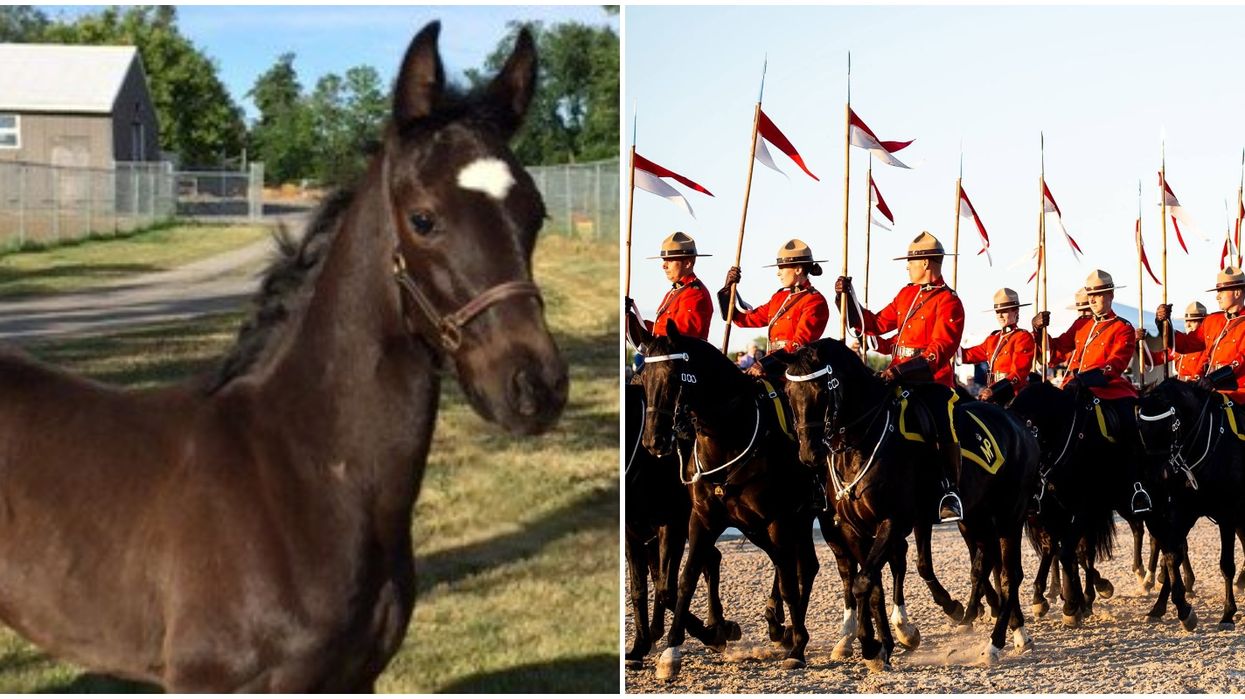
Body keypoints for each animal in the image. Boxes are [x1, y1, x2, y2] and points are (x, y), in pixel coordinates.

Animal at [623, 383, 740, 668]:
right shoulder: (633, 533)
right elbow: (639, 589)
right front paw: (639, 645)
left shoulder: (671, 526)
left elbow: (667, 588)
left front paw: (713, 635)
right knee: (710, 560)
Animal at [636, 325, 820, 680]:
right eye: (644, 376)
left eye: (674, 375)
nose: (653, 440)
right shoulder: (702, 519)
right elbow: (686, 578)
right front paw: (671, 651)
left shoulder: (777, 518)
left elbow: (789, 581)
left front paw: (798, 648)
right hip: (764, 525)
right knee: (796, 563)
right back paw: (782, 627)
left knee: (802, 566)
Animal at [780, 338, 1038, 667]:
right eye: (789, 393)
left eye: (821, 391)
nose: (808, 454)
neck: (862, 443)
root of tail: (1019, 424)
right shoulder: (854, 529)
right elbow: (871, 584)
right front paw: (880, 646)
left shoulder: (894, 521)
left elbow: (865, 581)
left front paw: (873, 645)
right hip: (977, 518)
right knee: (990, 566)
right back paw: (1015, 631)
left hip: (1009, 516)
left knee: (1009, 575)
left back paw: (995, 642)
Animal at [1009, 380, 1195, 630]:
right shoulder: (1057, 512)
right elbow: (1064, 551)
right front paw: (1066, 598)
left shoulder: (1083, 509)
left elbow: (1068, 552)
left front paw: (1072, 604)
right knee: (1166, 543)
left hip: (1152, 505)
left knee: (1170, 546)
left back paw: (1171, 597)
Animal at [1136, 378, 1245, 629]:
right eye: (1141, 429)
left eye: (1169, 426)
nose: (1156, 476)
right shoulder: (1184, 510)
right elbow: (1171, 555)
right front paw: (1177, 608)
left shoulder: (1227, 514)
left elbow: (1226, 564)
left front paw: (1227, 613)